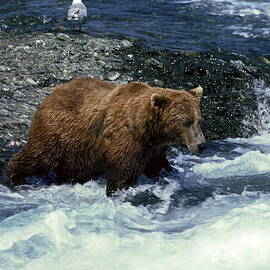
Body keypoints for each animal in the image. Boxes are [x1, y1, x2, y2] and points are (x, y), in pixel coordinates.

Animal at [4, 77, 205, 195]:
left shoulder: (154, 147)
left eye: (198, 120)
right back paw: (14, 177)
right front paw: (119, 191)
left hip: (78, 150)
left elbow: (156, 165)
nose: (201, 145)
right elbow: (122, 174)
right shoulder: (126, 140)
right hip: (57, 133)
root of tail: (51, 94)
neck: (148, 130)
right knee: (38, 156)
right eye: (186, 122)